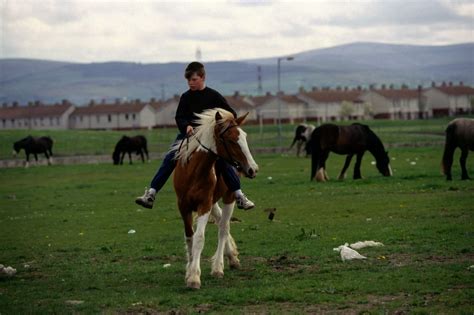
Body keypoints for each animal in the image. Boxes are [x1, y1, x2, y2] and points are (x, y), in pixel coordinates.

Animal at [171, 109, 258, 292]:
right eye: (231, 140)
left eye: (244, 137)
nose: (253, 169)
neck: (194, 171)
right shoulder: (183, 206)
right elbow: (189, 237)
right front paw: (189, 271)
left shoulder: (204, 203)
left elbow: (199, 238)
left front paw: (194, 277)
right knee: (219, 222)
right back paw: (231, 257)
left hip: (229, 198)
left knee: (223, 228)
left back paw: (219, 267)